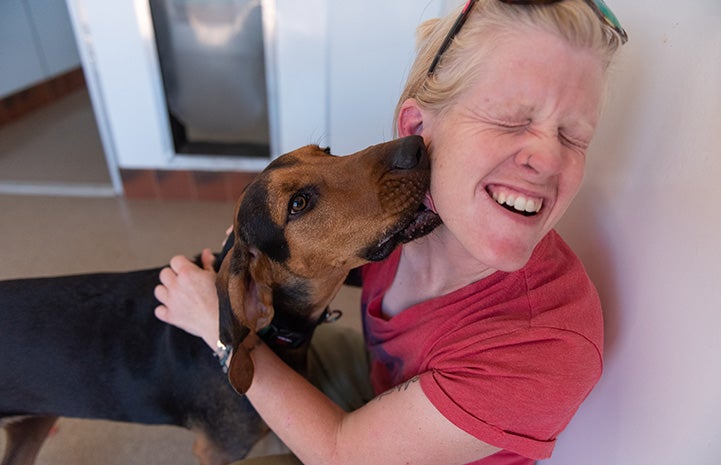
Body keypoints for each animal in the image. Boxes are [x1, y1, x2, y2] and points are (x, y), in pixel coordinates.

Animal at [0, 136, 442, 464]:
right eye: (298, 203)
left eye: (327, 151)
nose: (415, 144)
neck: (271, 333)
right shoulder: (217, 452)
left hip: (29, 429)